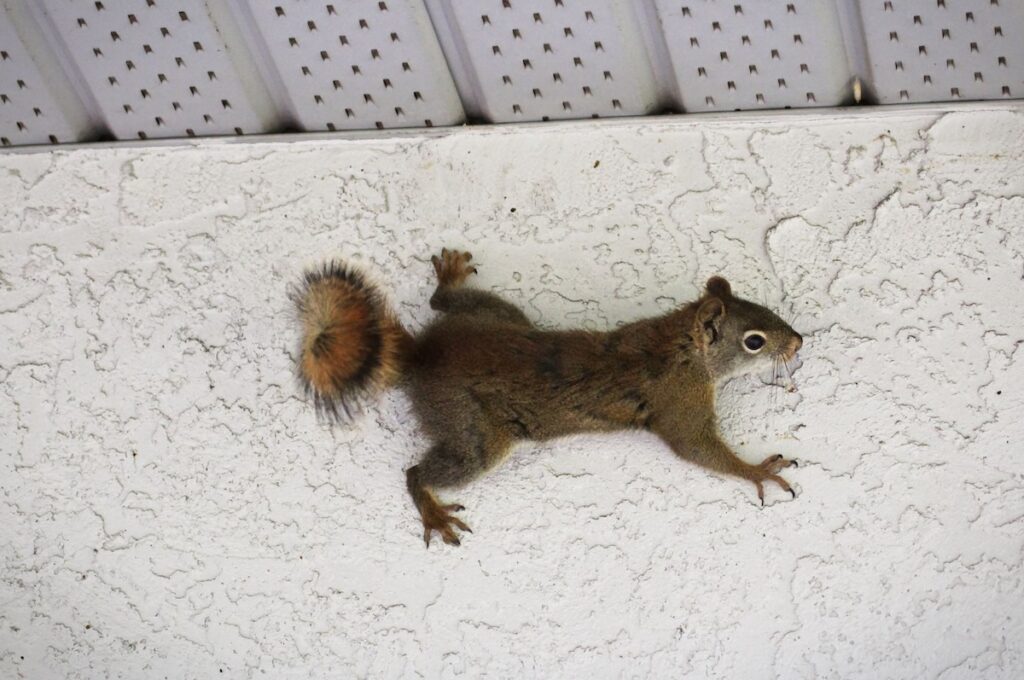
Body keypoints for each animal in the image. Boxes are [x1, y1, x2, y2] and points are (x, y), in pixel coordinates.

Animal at [292, 249, 803, 547]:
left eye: (766, 309)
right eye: (754, 341)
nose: (798, 342)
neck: (679, 344)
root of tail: (423, 355)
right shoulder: (679, 403)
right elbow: (696, 448)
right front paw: (758, 470)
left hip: (497, 315)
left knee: (442, 304)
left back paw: (451, 280)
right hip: (475, 432)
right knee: (418, 471)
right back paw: (434, 512)